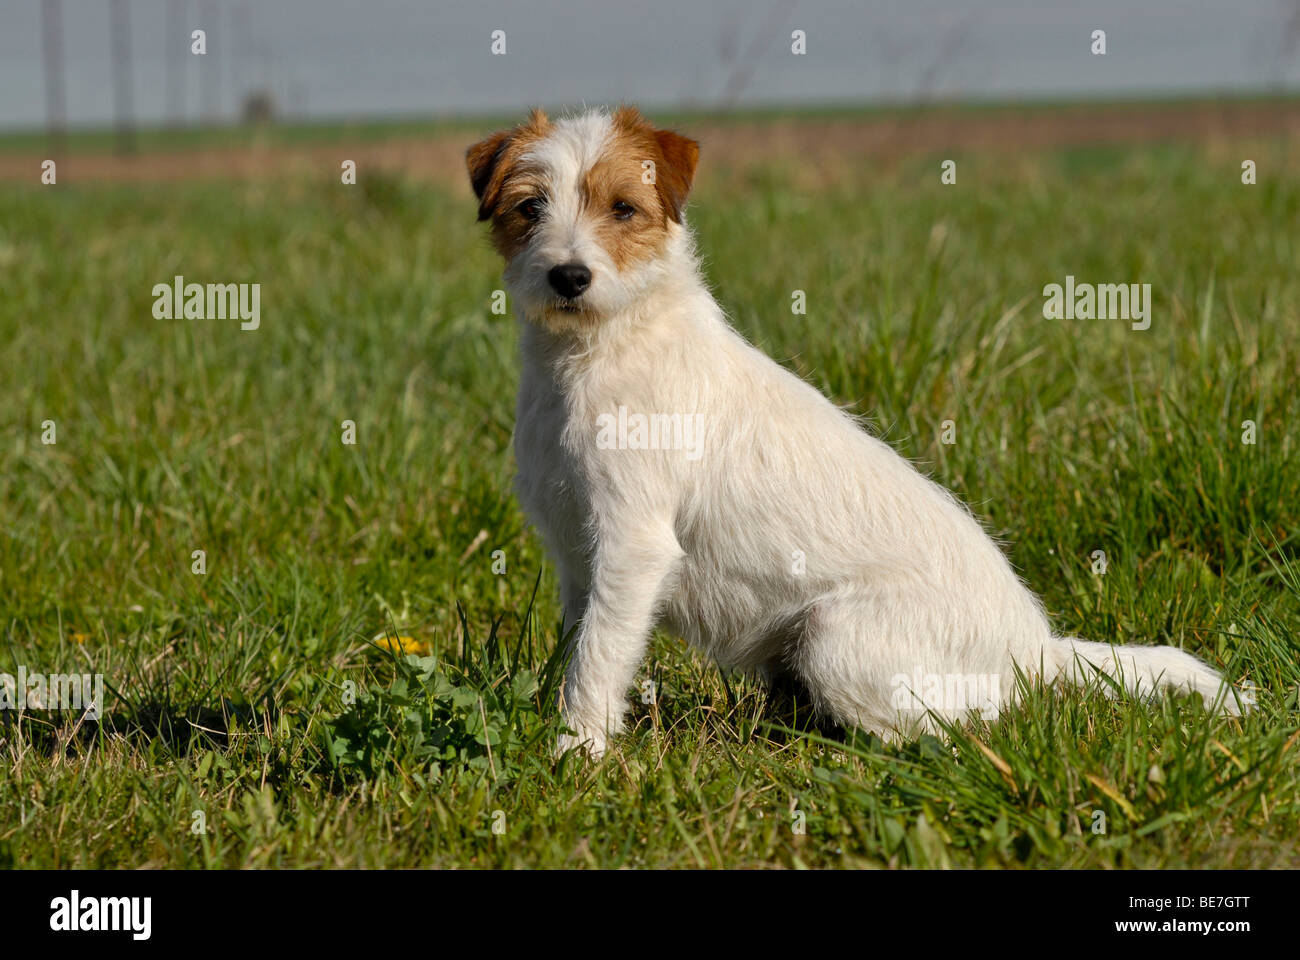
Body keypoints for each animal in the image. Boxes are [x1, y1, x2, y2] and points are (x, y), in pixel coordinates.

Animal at [465, 108, 1237, 759]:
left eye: (623, 208)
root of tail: (1036, 648)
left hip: (836, 639)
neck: (599, 350)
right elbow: (581, 643)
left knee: (961, 731)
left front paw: (575, 755)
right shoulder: (579, 555)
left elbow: (598, 661)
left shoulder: (632, 544)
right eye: (530, 207)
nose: (568, 276)